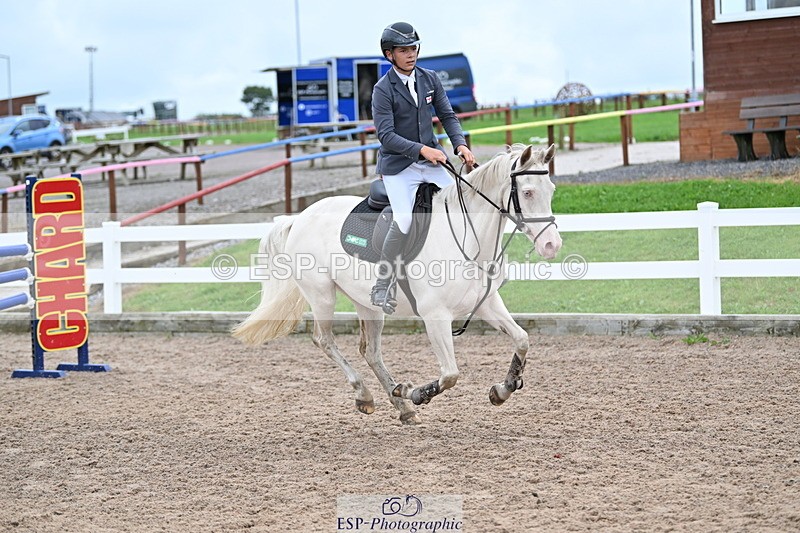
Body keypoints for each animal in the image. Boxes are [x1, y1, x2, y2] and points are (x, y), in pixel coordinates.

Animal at [232, 143, 562, 425]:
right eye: (528, 193)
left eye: (551, 190)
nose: (551, 245)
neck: (468, 236)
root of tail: (299, 217)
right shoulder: (435, 315)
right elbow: (450, 374)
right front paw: (415, 392)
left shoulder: (487, 304)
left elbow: (522, 339)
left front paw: (503, 389)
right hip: (322, 296)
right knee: (324, 340)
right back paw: (367, 395)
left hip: (368, 304)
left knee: (371, 352)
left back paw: (401, 407)